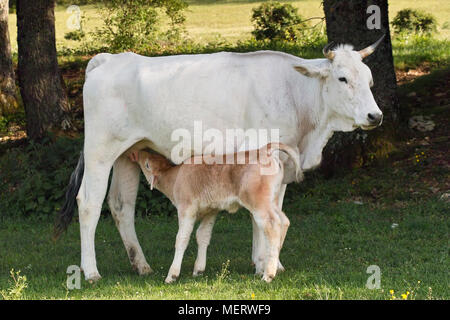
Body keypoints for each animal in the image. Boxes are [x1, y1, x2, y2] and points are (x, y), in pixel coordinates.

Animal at [132, 144, 304, 284]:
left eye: (147, 165)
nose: (138, 152)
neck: (176, 178)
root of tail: (264, 149)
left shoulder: (186, 209)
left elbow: (182, 238)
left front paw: (172, 275)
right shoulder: (211, 210)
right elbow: (202, 235)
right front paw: (198, 269)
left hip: (259, 204)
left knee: (273, 225)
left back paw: (268, 274)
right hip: (272, 201)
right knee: (284, 220)